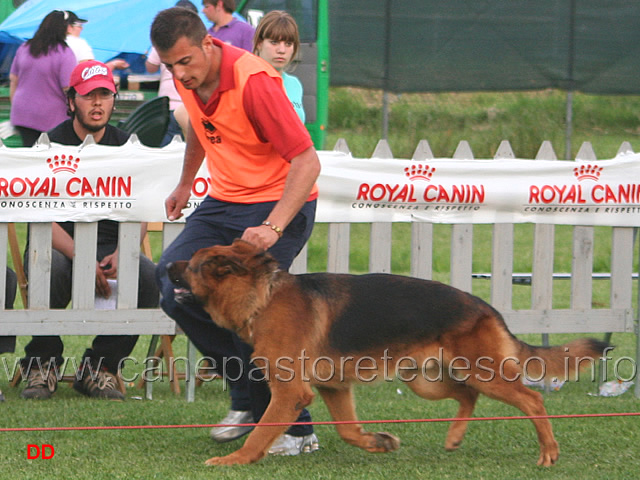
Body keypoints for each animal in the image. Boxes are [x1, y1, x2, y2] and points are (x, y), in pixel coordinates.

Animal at [169, 239, 608, 464]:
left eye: (191, 265)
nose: (167, 266)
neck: (263, 297)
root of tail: (485, 307)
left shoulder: (292, 393)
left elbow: (261, 433)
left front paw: (236, 461)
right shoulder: (334, 389)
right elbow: (348, 431)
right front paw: (378, 442)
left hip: (484, 375)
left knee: (532, 400)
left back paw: (548, 451)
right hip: (426, 382)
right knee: (468, 396)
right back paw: (454, 437)